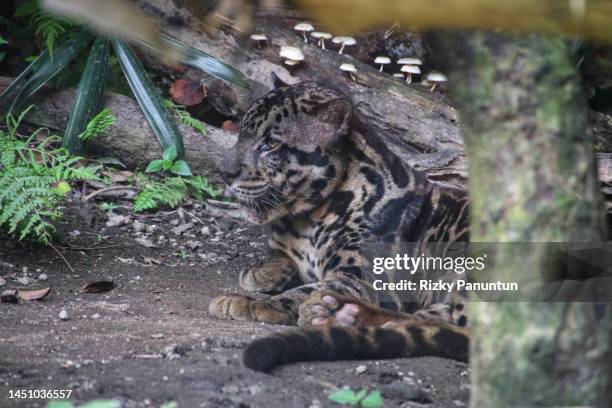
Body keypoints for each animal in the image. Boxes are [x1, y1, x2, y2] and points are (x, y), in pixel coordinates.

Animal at [206, 77, 468, 372]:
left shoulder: (364, 278)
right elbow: (280, 256)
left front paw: (250, 302)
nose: (224, 172)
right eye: (241, 134)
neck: (306, 218)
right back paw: (340, 313)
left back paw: (335, 313)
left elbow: (305, 290)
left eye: (270, 144)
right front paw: (260, 272)